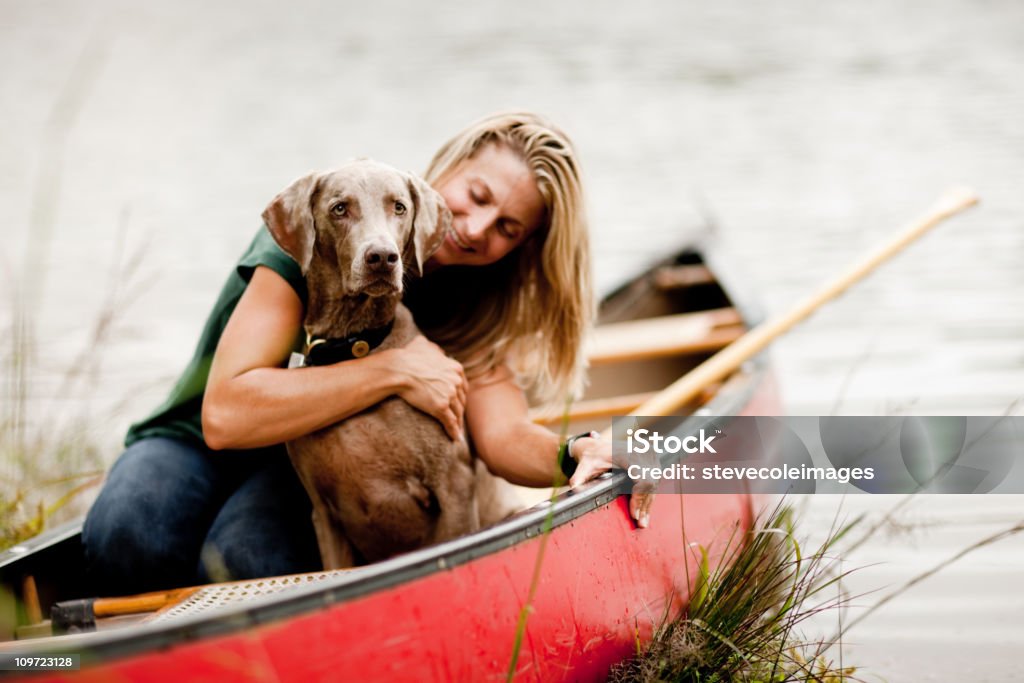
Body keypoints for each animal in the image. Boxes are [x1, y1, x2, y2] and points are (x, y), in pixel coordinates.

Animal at [260, 158, 479, 565]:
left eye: (400, 207)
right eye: (339, 208)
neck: (355, 346)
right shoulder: (324, 514)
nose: (381, 258)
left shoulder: (455, 483)